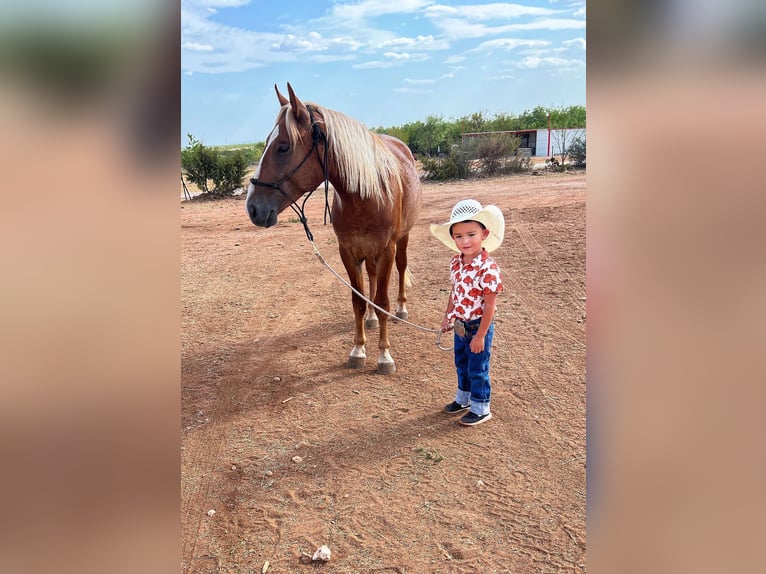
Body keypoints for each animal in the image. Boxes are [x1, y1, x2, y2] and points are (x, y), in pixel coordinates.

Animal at [246, 83, 424, 376]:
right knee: (371, 278)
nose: (252, 207)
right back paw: (372, 319)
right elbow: (358, 301)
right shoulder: (348, 252)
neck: (366, 194)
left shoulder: (386, 249)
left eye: (283, 148)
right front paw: (358, 349)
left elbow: (383, 301)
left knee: (401, 269)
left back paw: (402, 309)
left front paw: (384, 356)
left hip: (403, 240)